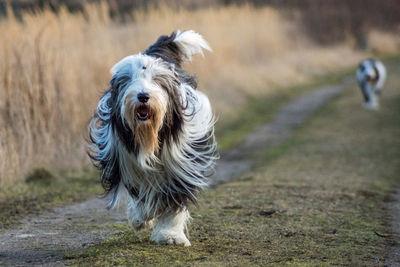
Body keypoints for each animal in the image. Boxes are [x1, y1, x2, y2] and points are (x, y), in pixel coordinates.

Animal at [89, 29, 217, 247]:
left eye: (157, 80)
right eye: (129, 80)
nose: (143, 96)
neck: (149, 136)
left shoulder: (181, 164)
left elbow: (175, 200)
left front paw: (170, 235)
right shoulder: (126, 161)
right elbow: (140, 194)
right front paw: (142, 217)